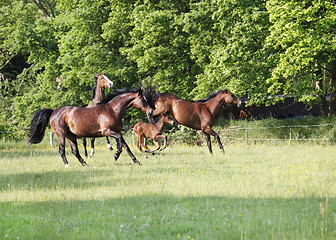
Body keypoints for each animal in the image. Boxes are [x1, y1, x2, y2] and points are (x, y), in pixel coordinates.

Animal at [26, 88, 154, 167]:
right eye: (142, 99)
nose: (151, 111)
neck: (113, 111)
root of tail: (53, 112)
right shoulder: (107, 131)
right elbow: (121, 142)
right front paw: (116, 155)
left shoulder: (116, 131)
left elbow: (125, 145)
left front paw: (136, 161)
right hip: (61, 135)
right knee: (62, 150)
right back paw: (68, 165)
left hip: (71, 136)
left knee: (75, 151)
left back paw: (85, 164)